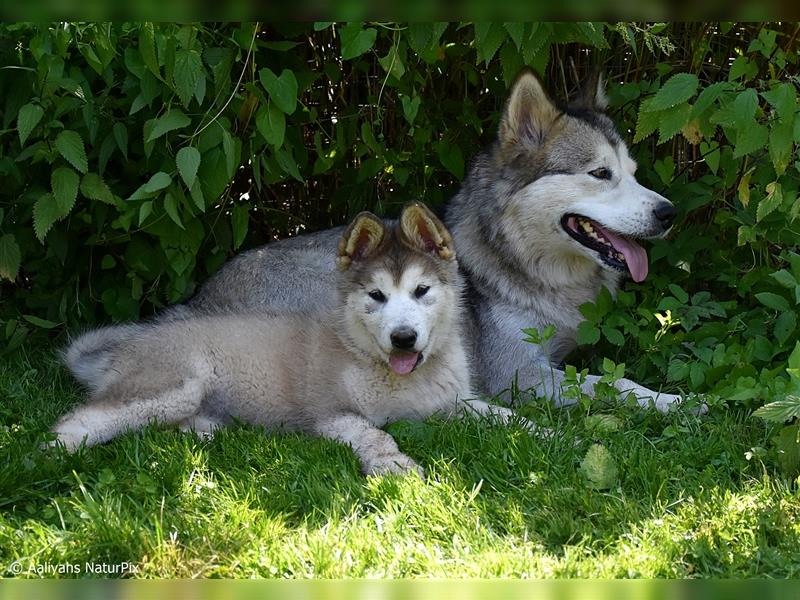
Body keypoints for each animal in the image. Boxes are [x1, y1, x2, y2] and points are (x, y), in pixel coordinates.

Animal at [54, 204, 524, 476]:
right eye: (377, 296)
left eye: (421, 291)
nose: (403, 338)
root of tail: (123, 347)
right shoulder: (331, 414)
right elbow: (375, 434)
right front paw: (393, 463)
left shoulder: (457, 402)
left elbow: (508, 416)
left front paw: (542, 435)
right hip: (169, 387)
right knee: (78, 421)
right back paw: (52, 456)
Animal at [177, 68, 688, 410]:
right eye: (600, 174)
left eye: (633, 173)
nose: (669, 213)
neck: (517, 262)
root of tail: (196, 305)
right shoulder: (518, 376)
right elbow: (610, 386)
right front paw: (679, 403)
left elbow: (613, 377)